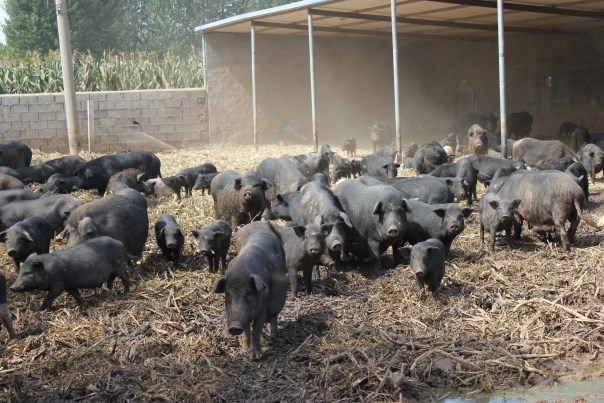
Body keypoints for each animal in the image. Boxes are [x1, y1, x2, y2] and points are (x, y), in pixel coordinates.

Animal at [212, 223, 288, 362]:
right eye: (227, 294)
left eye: (248, 293)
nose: (234, 327)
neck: (241, 271)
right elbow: (247, 330)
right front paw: (244, 350)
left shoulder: (263, 307)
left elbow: (256, 329)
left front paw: (255, 357)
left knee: (273, 317)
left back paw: (273, 336)